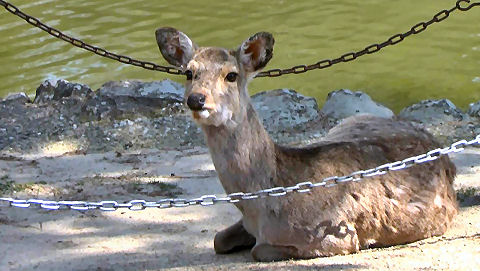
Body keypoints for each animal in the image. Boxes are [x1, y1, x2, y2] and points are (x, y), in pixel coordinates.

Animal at [157, 27, 458, 262]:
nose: (196, 99)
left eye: (231, 75)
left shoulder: (338, 235)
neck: (264, 204)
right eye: (188, 73)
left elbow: (258, 250)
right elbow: (218, 239)